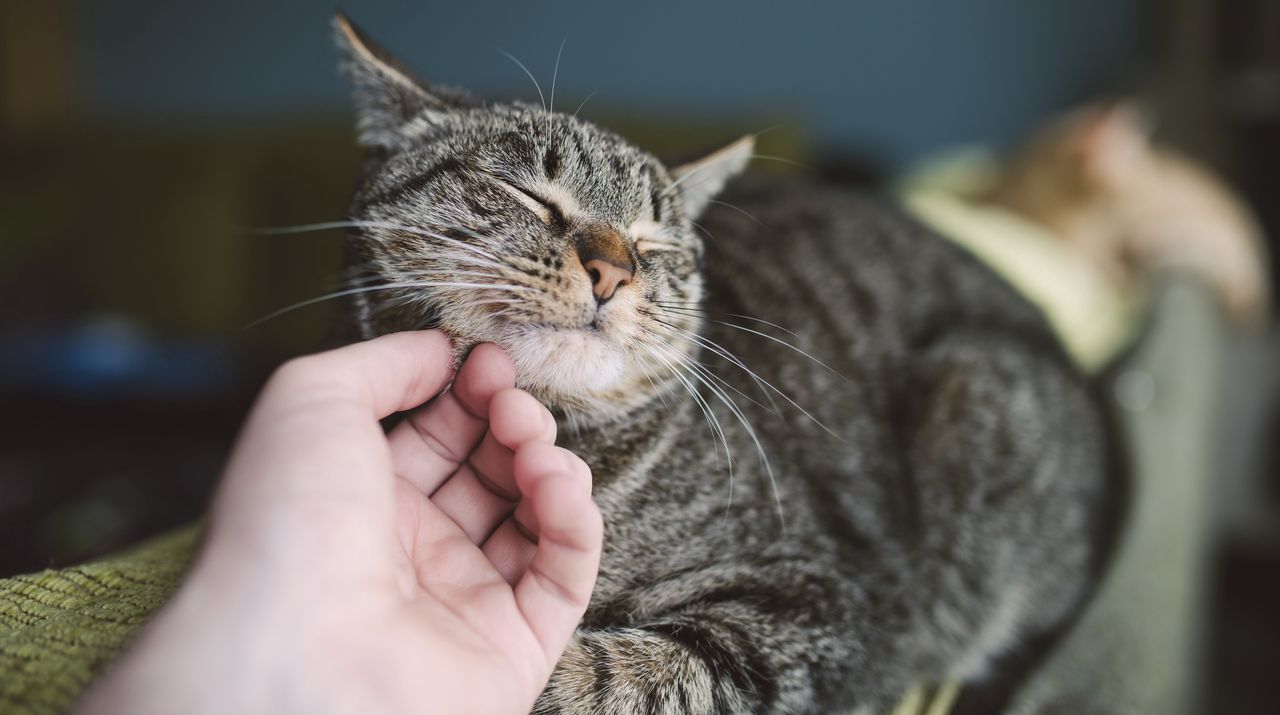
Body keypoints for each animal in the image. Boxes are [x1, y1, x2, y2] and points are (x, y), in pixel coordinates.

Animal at [327, 13, 1121, 711]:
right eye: (527, 194)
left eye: (654, 244)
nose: (613, 272)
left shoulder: (823, 603)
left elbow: (624, 674)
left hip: (978, 396)